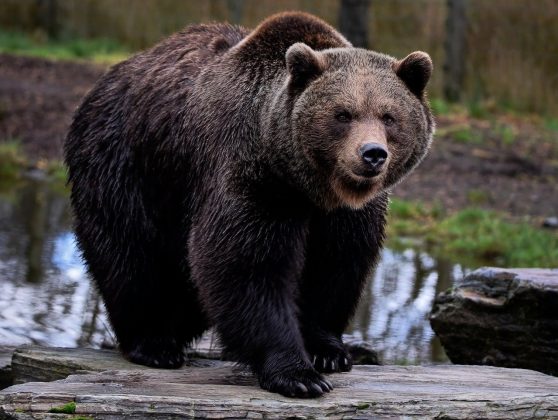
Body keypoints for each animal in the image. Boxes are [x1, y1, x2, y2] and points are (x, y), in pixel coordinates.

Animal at [64, 10, 434, 398]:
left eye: (389, 116)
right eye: (343, 114)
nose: (372, 154)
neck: (310, 187)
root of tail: (108, 77)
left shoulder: (346, 215)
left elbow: (335, 266)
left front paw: (328, 352)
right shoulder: (254, 178)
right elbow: (248, 265)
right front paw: (298, 374)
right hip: (128, 163)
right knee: (131, 253)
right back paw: (154, 343)